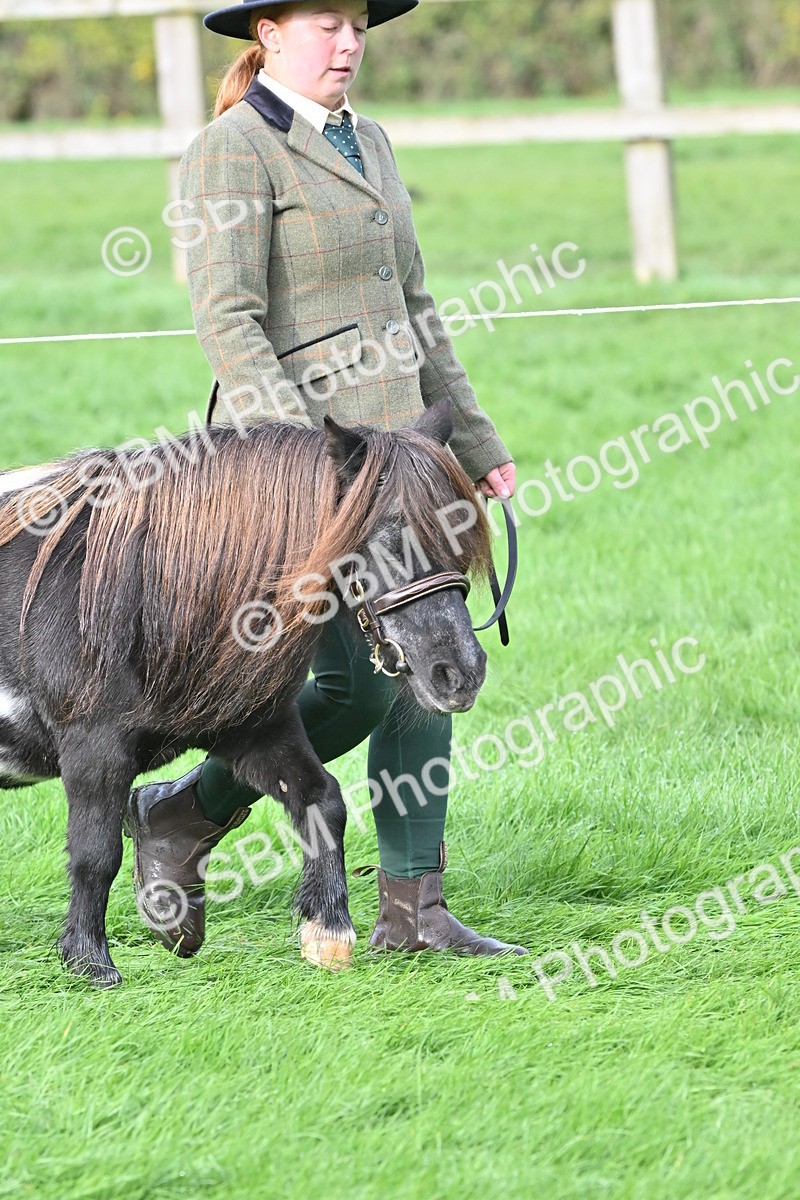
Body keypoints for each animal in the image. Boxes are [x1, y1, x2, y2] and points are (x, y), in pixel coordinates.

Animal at [0, 397, 493, 986]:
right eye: (389, 532)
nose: (460, 673)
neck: (138, 588)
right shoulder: (93, 746)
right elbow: (95, 853)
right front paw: (90, 962)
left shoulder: (251, 727)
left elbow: (321, 799)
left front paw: (327, 932)